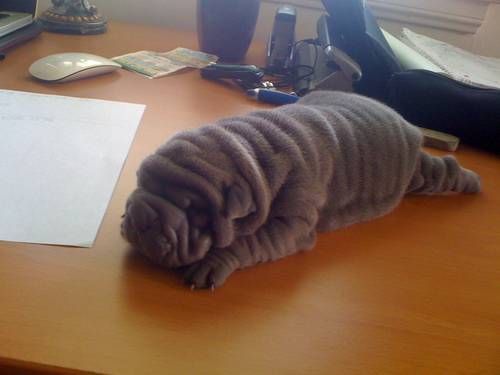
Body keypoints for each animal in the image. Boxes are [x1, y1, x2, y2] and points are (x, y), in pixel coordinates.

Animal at [122, 90, 480, 288]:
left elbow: (251, 241)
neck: (252, 152)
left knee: (441, 172)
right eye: (141, 180)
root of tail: (408, 123)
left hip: (414, 171)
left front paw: (211, 264)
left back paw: (473, 183)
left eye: (195, 212)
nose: (141, 217)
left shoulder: (292, 220)